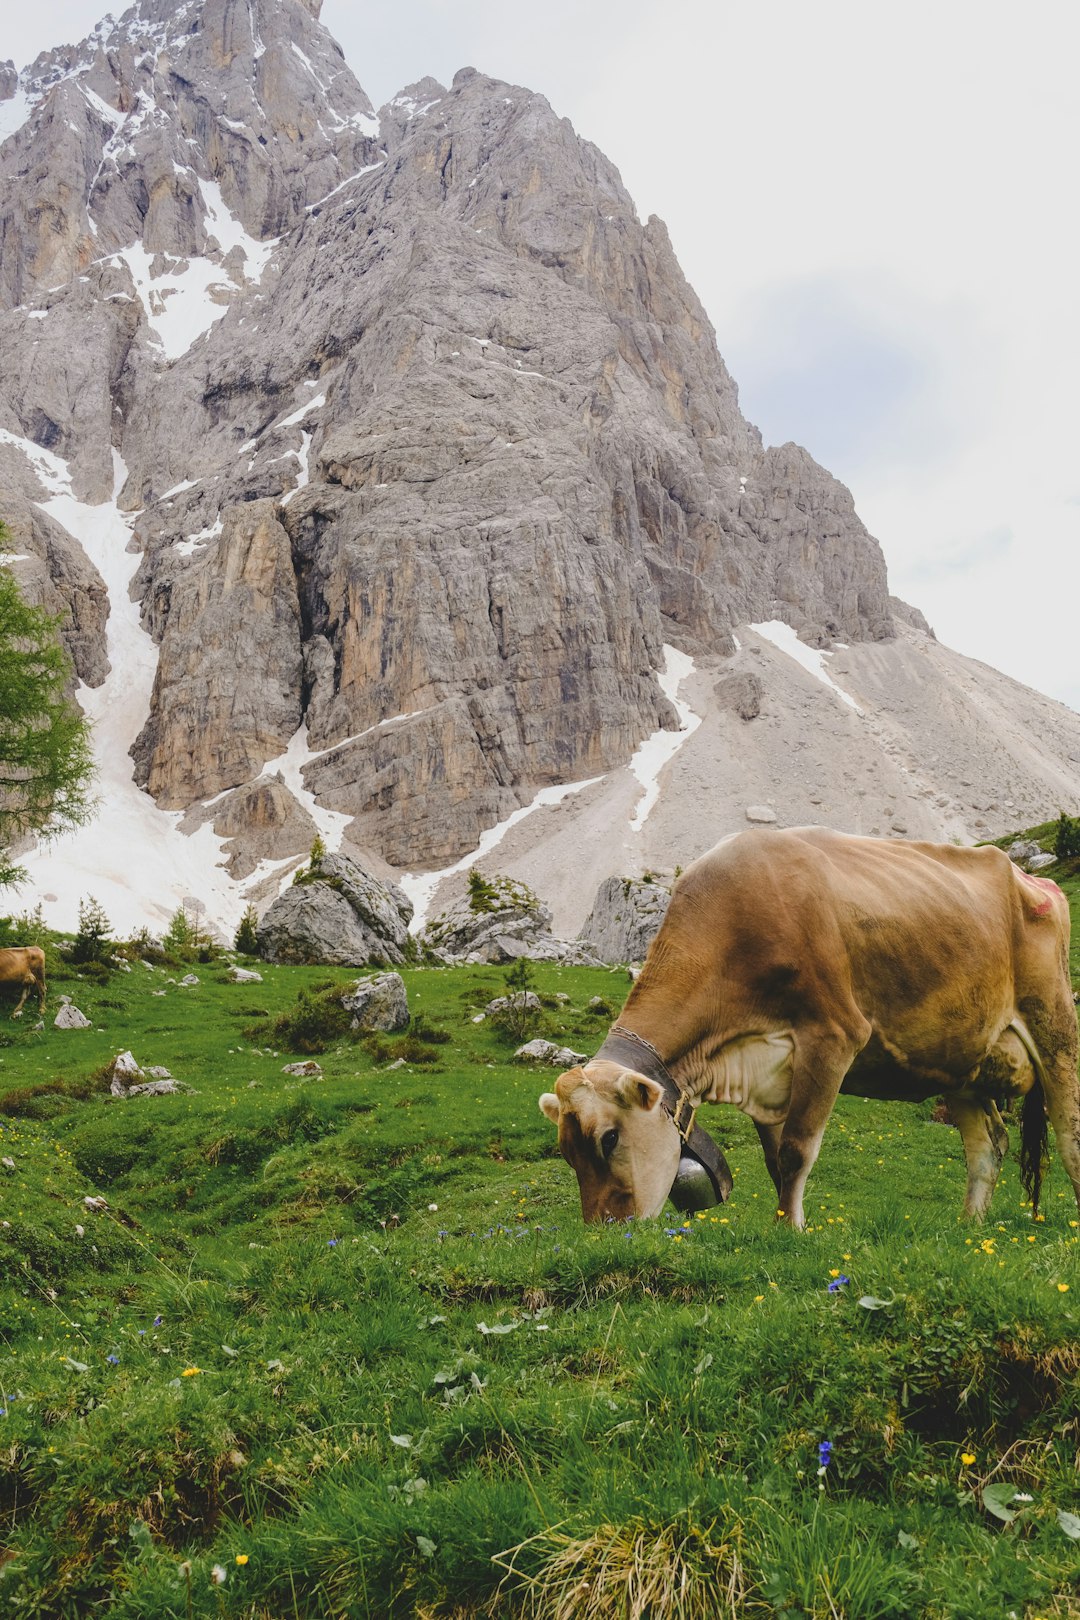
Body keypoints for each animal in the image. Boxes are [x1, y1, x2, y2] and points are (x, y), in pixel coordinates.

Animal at [540, 829, 1080, 1218]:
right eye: (565, 1152)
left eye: (609, 1139)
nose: (608, 1232)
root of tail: (1033, 878)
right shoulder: (766, 1073)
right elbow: (775, 1160)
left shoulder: (833, 1035)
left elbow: (797, 1151)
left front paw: (790, 1231)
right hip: (960, 1057)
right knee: (989, 1144)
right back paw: (970, 1226)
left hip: (1055, 1024)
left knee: (1068, 1131)